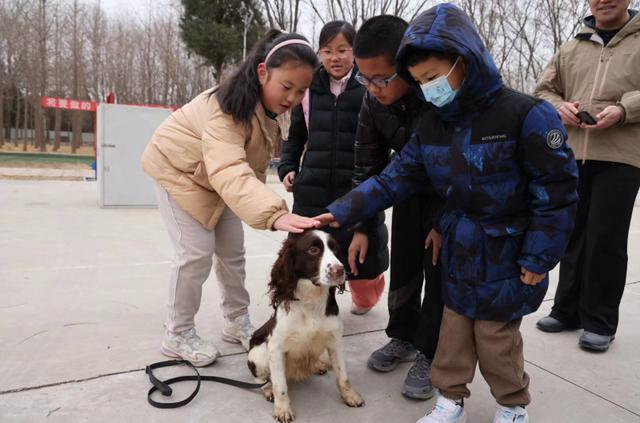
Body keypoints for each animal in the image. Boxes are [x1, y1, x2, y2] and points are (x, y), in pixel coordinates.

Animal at [246, 232, 364, 423]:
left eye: (335, 249)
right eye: (313, 250)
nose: (339, 270)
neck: (311, 301)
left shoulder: (335, 341)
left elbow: (343, 377)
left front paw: (350, 396)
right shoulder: (275, 348)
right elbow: (280, 386)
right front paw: (282, 409)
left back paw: (317, 365)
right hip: (260, 352)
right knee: (260, 378)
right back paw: (268, 388)